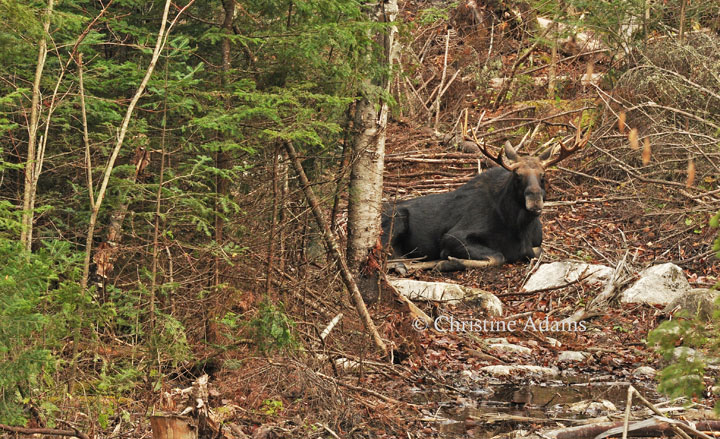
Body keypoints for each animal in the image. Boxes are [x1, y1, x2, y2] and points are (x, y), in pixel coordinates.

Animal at [381, 132, 587, 272]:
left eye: (543, 175)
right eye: (517, 175)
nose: (535, 200)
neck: (520, 226)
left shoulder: (536, 243)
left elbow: (538, 251)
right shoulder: (452, 236)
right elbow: (498, 256)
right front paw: (447, 261)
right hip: (395, 219)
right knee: (391, 257)